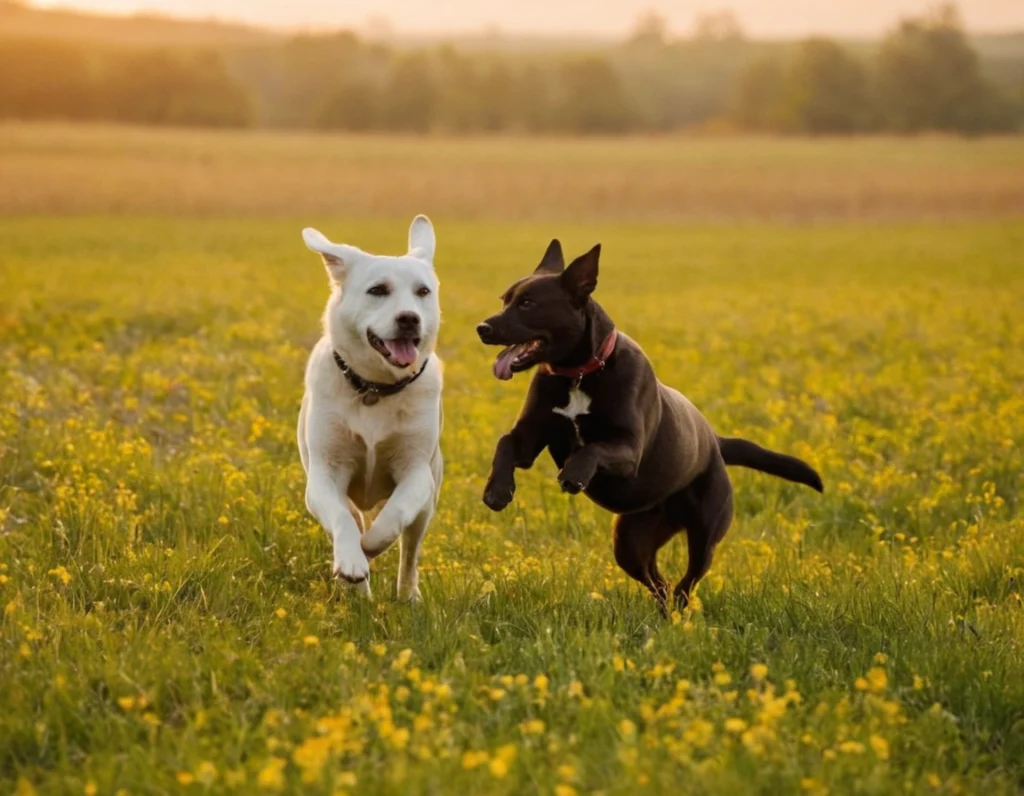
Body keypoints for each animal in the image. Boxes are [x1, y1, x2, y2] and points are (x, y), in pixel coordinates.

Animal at [294, 214, 442, 598]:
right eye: (378, 290)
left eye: (423, 292)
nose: (409, 318)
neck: (375, 388)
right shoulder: (324, 473)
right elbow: (342, 519)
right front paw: (352, 560)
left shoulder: (417, 472)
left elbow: (395, 514)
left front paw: (370, 547)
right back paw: (357, 589)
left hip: (429, 503)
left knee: (410, 552)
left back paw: (408, 595)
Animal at [479, 238, 823, 610]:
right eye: (504, 299)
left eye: (528, 303)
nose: (482, 328)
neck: (580, 373)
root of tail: (714, 442)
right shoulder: (528, 438)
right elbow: (504, 443)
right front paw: (498, 490)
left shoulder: (629, 450)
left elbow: (592, 449)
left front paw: (573, 474)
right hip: (631, 541)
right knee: (659, 581)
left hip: (705, 531)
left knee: (685, 582)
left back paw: (679, 613)